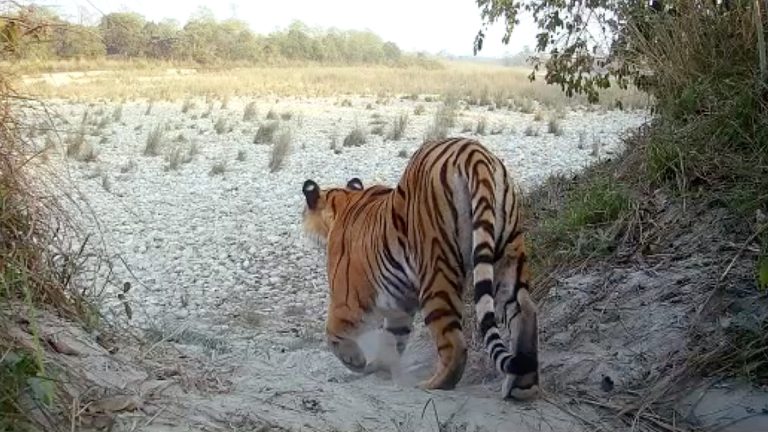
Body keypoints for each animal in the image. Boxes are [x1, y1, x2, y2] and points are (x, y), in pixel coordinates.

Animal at [301, 137, 539, 400]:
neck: (343, 203)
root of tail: (473, 153)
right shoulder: (399, 305)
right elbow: (392, 339)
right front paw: (379, 366)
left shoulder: (347, 299)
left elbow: (333, 332)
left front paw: (355, 361)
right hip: (508, 254)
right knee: (525, 310)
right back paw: (522, 386)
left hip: (436, 272)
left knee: (454, 343)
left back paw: (433, 384)